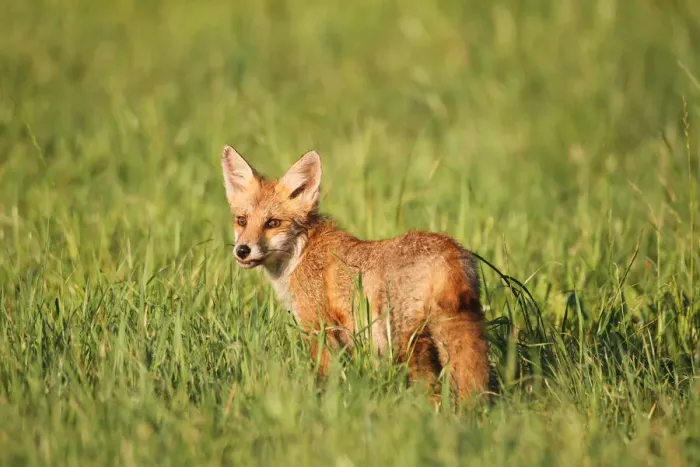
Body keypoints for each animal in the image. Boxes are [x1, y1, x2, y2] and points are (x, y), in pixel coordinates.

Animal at [220, 145, 489, 403]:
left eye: (273, 223)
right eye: (242, 221)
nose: (242, 250)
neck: (301, 251)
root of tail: (450, 250)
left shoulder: (319, 328)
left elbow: (325, 378)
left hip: (406, 343)